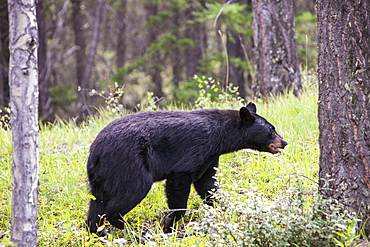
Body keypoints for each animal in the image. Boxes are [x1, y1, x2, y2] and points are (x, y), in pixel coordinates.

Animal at [86, 102, 286, 233]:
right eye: (272, 129)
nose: (284, 142)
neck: (221, 136)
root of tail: (96, 151)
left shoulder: (209, 157)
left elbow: (208, 185)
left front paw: (223, 209)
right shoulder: (196, 149)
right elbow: (180, 180)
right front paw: (168, 223)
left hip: (101, 176)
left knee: (96, 204)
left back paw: (95, 230)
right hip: (129, 163)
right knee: (131, 191)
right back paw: (131, 230)